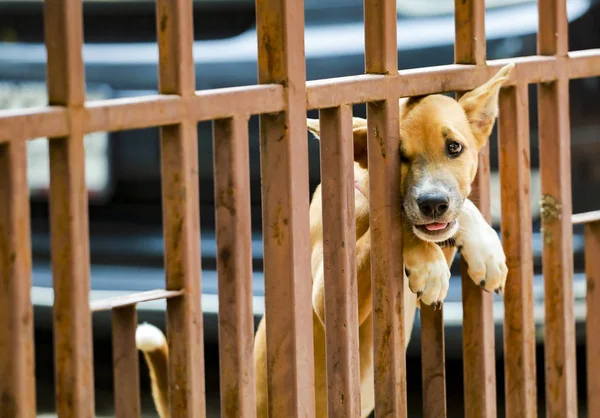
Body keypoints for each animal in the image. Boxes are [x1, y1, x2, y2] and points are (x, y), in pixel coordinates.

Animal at [136, 62, 510, 418]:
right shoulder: (326, 296)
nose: (433, 204)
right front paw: (430, 264)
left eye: (454, 147)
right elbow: (392, 219)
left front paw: (486, 251)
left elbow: (457, 214)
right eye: (399, 157)